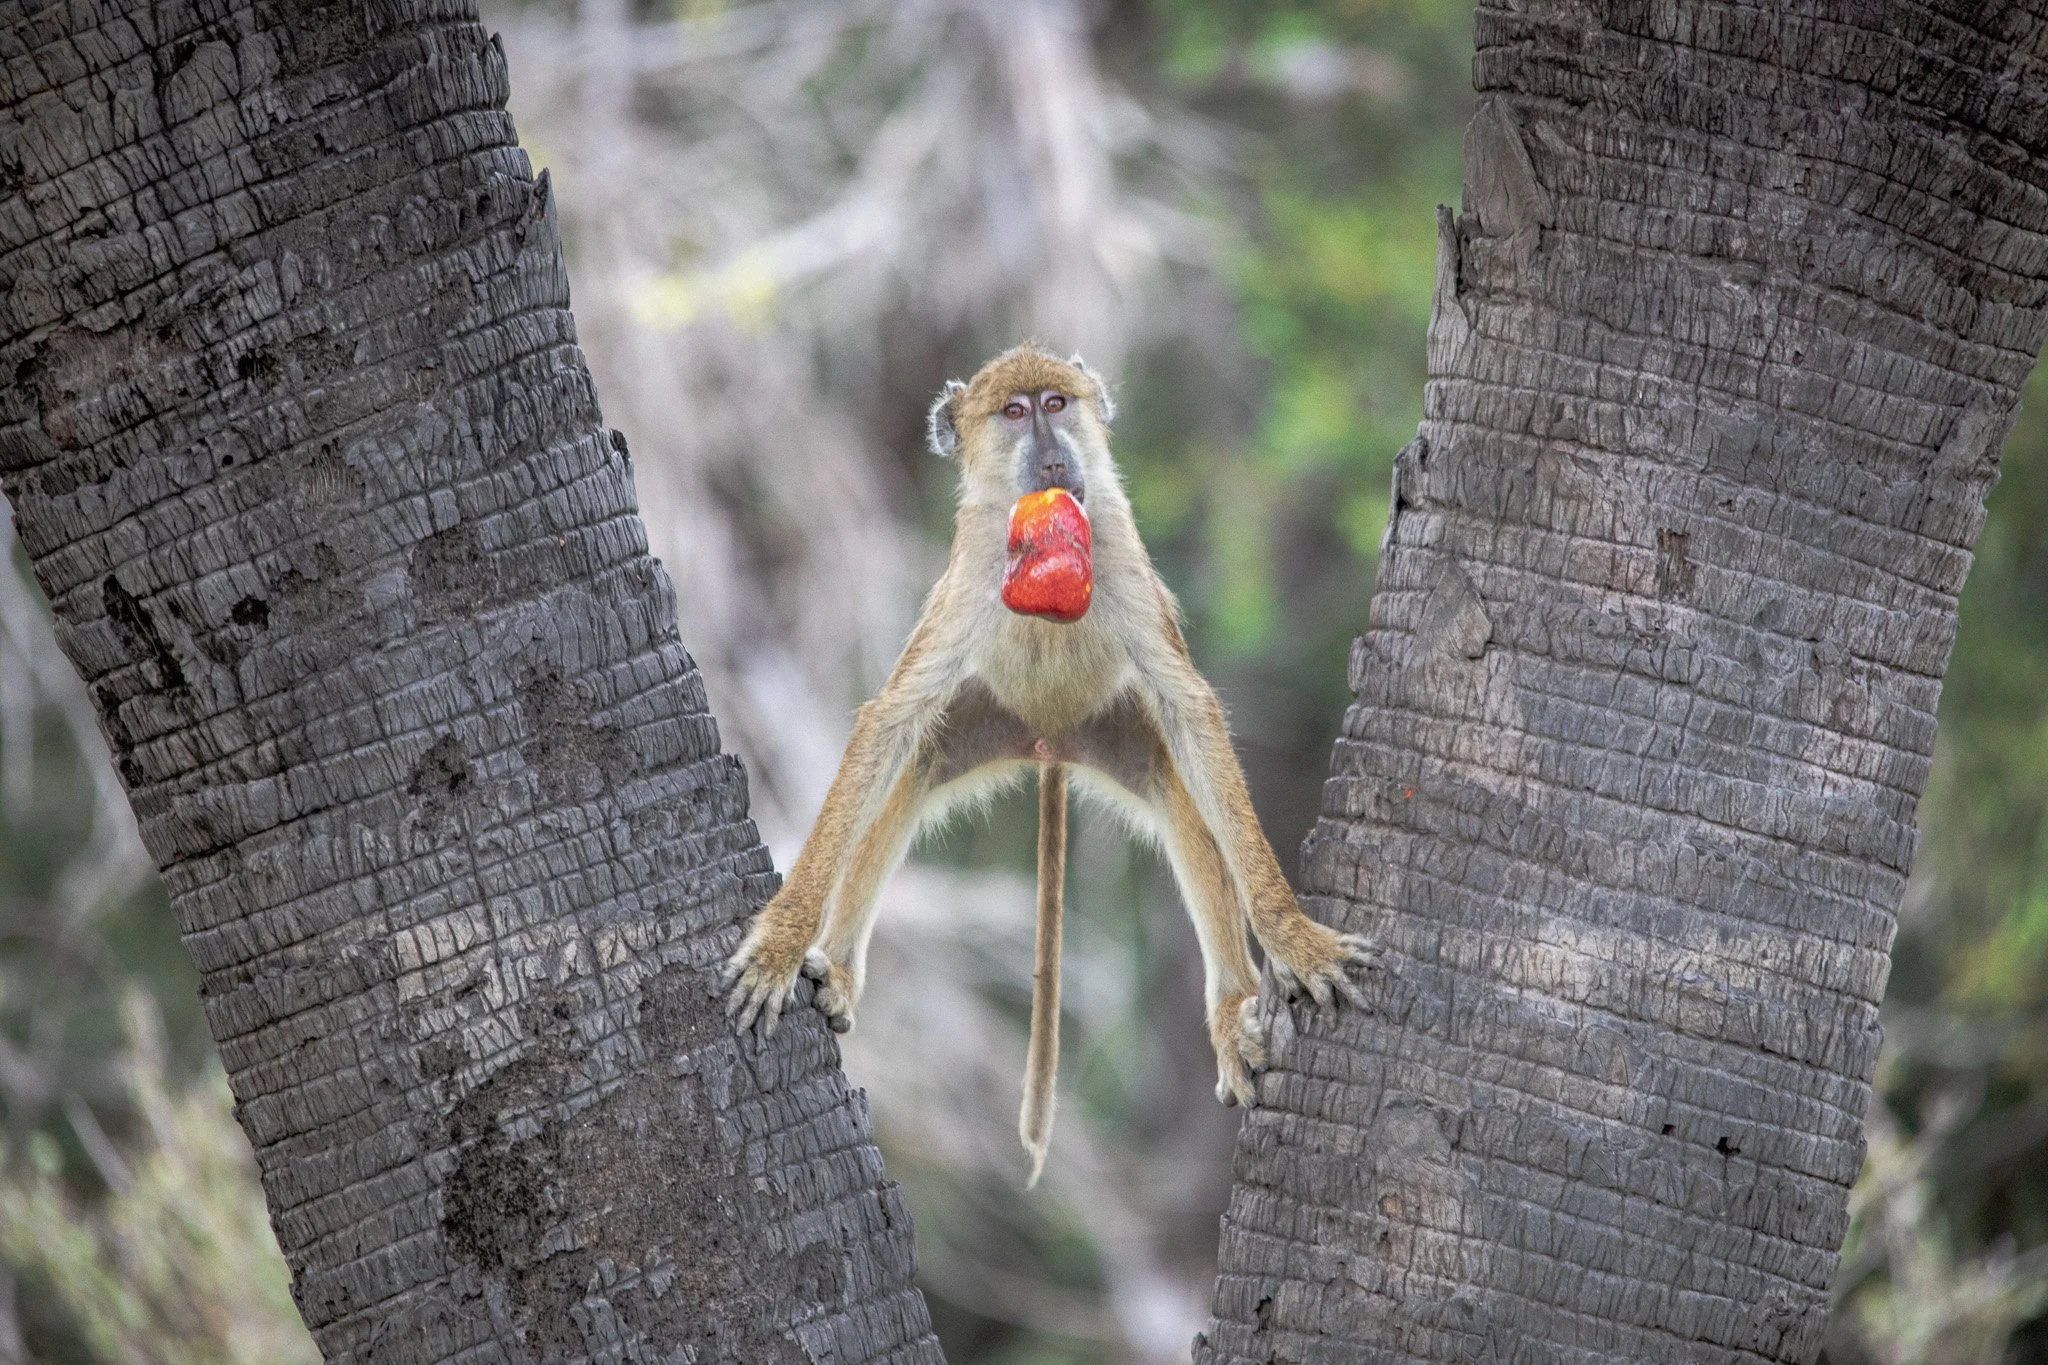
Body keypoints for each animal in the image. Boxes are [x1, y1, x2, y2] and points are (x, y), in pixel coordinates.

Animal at [722, 343, 1374, 1186]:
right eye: (1013, 412)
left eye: (1057, 403)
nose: (1055, 457)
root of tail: (1051, 738)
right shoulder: (974, 568)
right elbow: (888, 721)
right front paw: (779, 944)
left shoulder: (1121, 551)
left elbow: (1193, 716)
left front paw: (1294, 939)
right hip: (987, 721)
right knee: (914, 762)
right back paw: (832, 968)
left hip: (1112, 731)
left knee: (1180, 790)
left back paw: (1234, 1010)